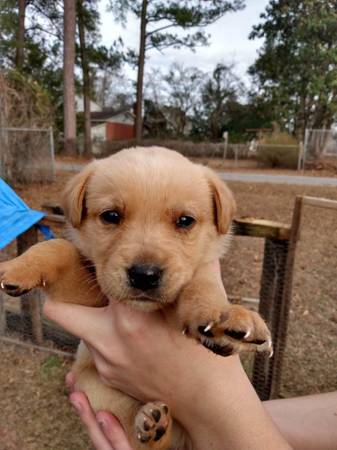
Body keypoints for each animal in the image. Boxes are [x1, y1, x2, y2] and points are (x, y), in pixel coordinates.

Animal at [0, 147, 270, 446]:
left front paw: (225, 316)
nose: (144, 275)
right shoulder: (90, 293)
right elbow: (57, 246)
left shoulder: (200, 272)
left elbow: (201, 286)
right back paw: (153, 425)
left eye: (185, 220)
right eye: (111, 216)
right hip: (94, 386)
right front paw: (17, 267)